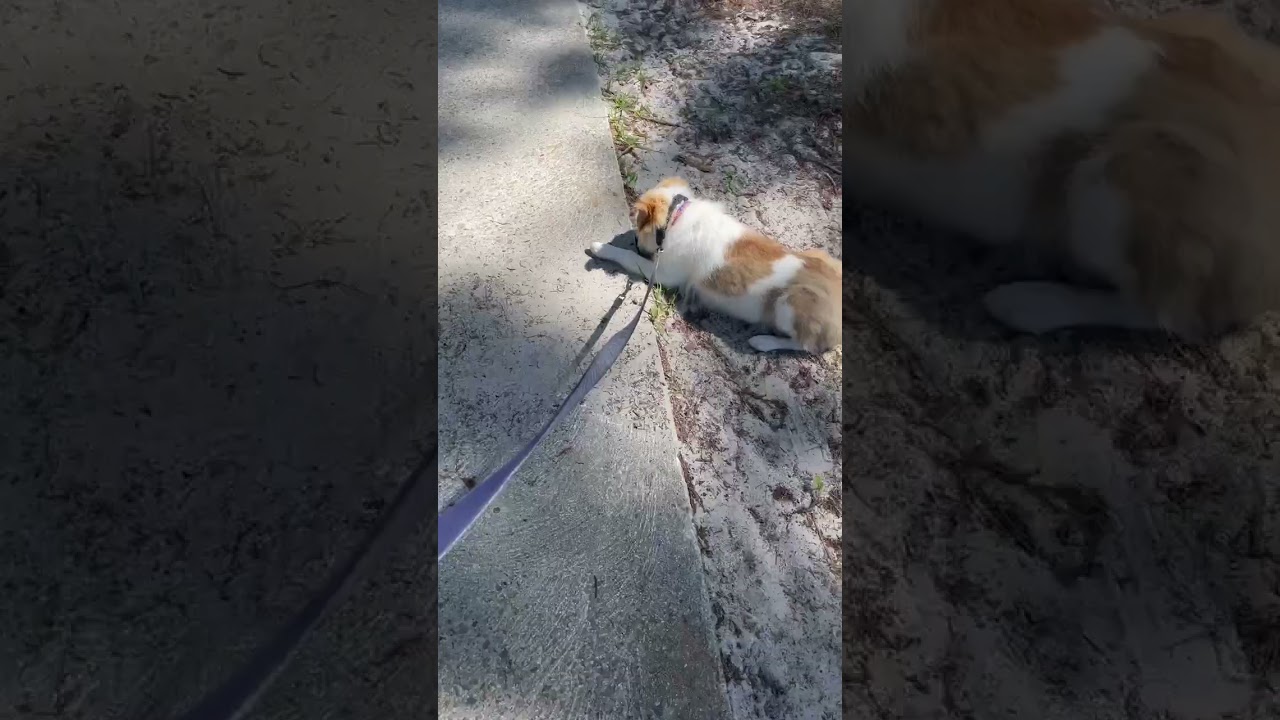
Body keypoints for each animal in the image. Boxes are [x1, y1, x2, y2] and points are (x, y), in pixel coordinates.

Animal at [586, 175, 839, 351]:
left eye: (639, 227)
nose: (635, 241)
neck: (676, 216)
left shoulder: (665, 273)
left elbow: (628, 256)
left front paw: (601, 248)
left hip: (791, 303)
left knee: (807, 345)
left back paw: (764, 342)